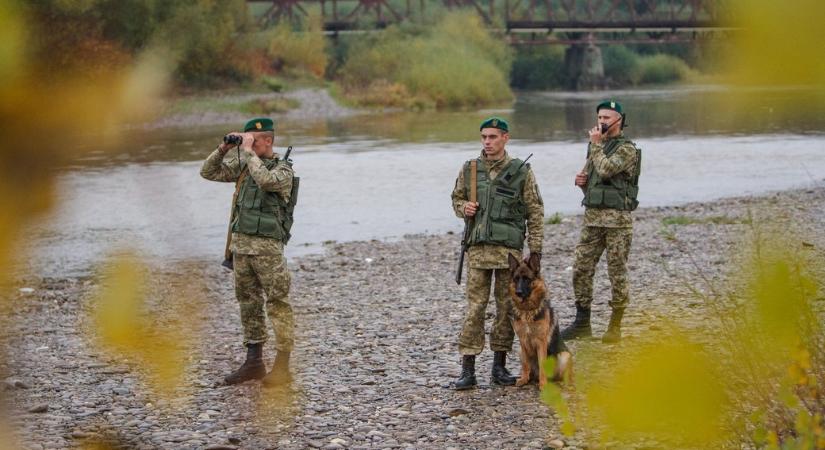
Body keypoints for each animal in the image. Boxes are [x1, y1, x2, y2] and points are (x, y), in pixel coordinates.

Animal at [506, 253, 568, 390]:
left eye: (527, 279)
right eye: (516, 279)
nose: (518, 293)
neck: (527, 310)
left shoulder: (541, 342)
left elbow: (543, 365)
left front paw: (543, 384)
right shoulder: (523, 341)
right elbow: (525, 365)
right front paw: (524, 379)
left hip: (564, 355)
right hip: (519, 351)